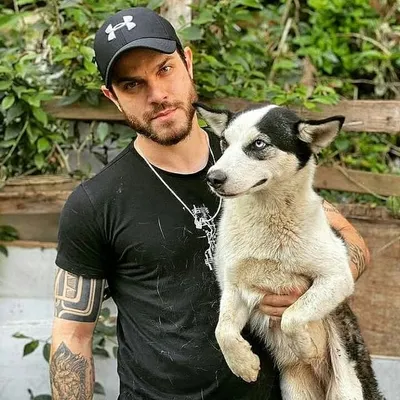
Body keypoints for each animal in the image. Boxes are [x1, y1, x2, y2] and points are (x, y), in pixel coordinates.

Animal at [194, 103, 384, 400]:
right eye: (225, 142)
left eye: (259, 144)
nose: (213, 178)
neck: (267, 221)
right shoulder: (234, 287)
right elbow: (222, 330)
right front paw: (243, 363)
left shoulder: (337, 278)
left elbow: (292, 316)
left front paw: (305, 346)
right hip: (295, 390)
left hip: (349, 388)